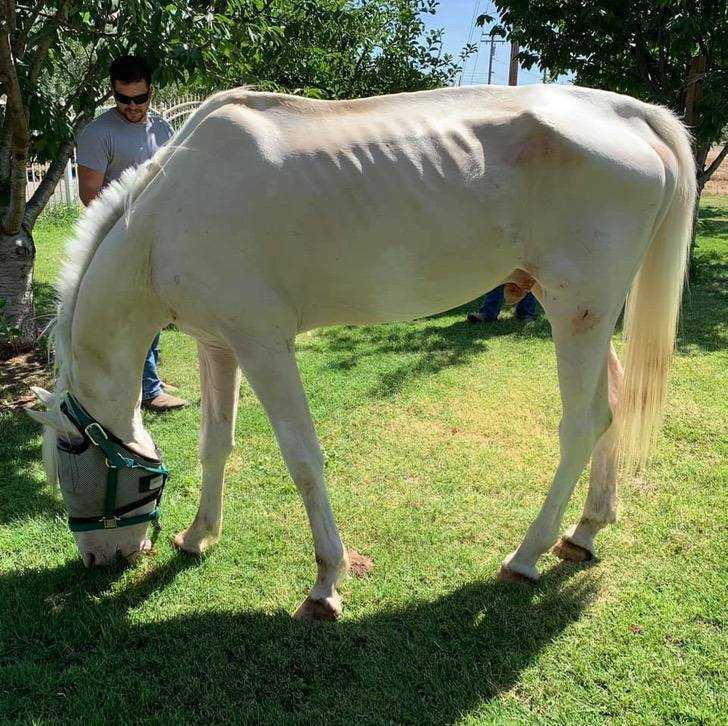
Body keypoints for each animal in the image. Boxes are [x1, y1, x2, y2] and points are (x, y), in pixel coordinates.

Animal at [28, 84, 696, 620]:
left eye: (70, 455)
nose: (98, 558)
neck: (164, 221)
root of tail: (626, 112)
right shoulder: (218, 343)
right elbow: (215, 442)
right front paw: (198, 536)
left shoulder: (264, 344)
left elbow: (303, 458)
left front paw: (326, 583)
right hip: (590, 318)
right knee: (612, 407)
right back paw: (586, 530)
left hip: (575, 313)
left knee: (582, 425)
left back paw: (526, 555)